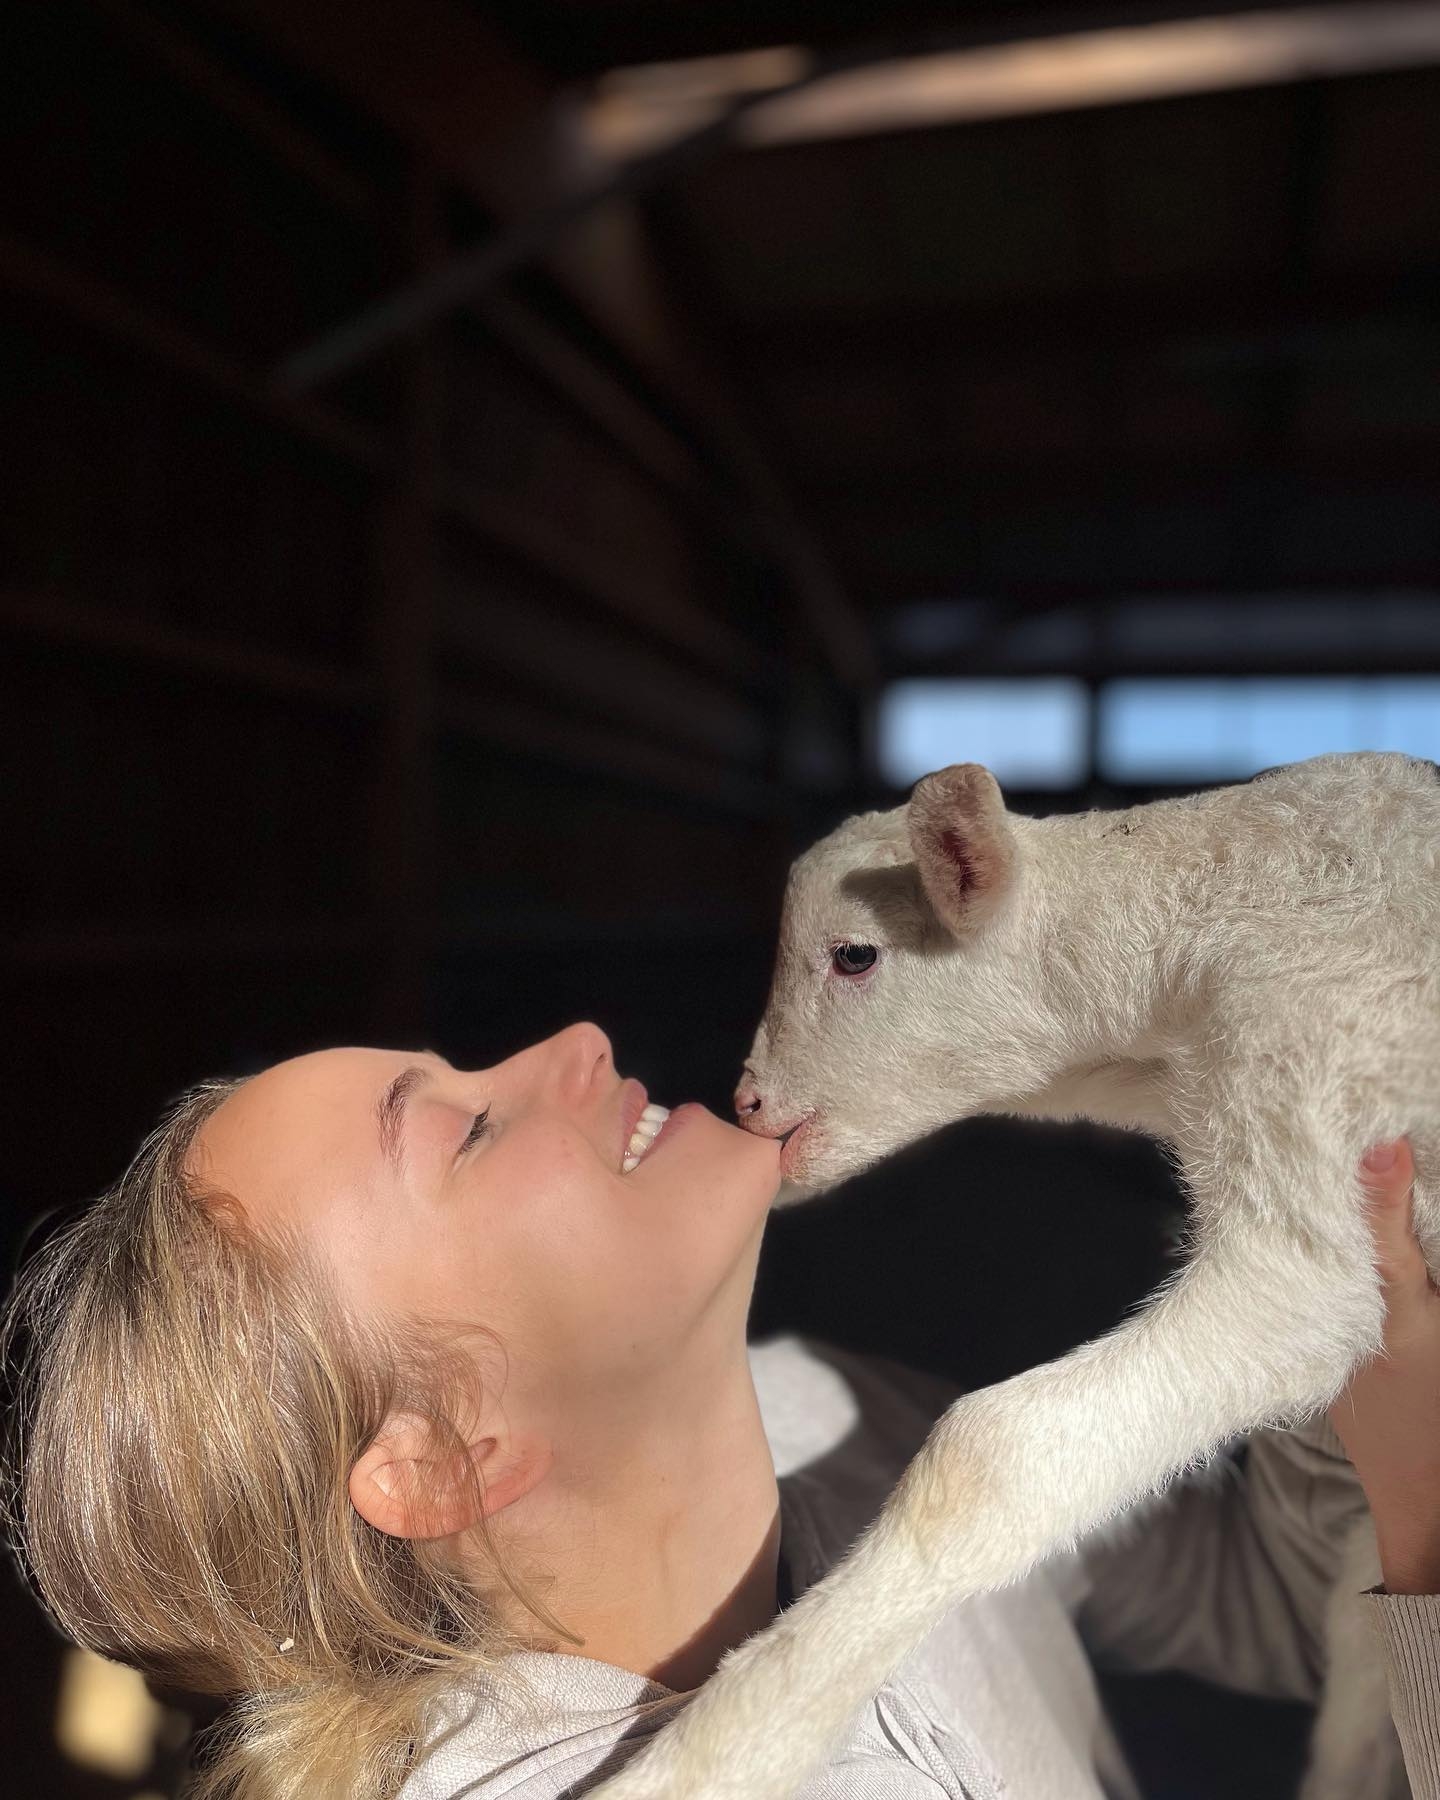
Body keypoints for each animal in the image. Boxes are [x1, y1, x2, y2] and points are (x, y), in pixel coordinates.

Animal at [590, 748, 1432, 1800]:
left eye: (854, 956)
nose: (746, 1105)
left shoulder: (1316, 1078)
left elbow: (989, 1449)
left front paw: (715, 1748)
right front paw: (652, 1139)